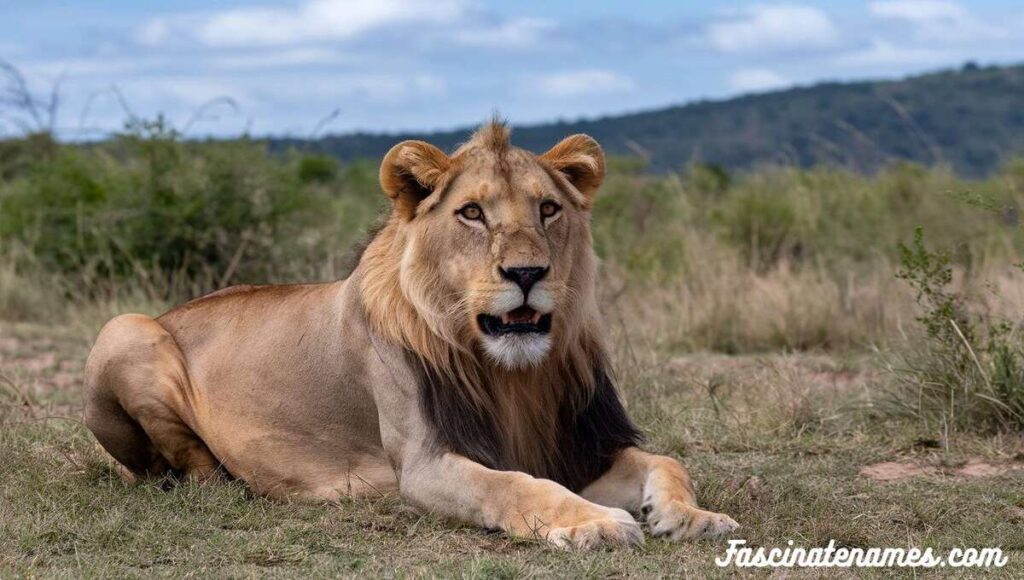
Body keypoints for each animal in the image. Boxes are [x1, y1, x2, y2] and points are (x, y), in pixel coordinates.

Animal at [83, 121, 739, 549]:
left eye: (548, 209)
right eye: (472, 213)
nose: (527, 273)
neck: (514, 376)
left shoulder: (578, 446)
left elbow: (667, 460)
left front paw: (692, 516)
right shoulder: (424, 464)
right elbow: (515, 485)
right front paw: (593, 522)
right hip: (124, 328)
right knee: (181, 468)